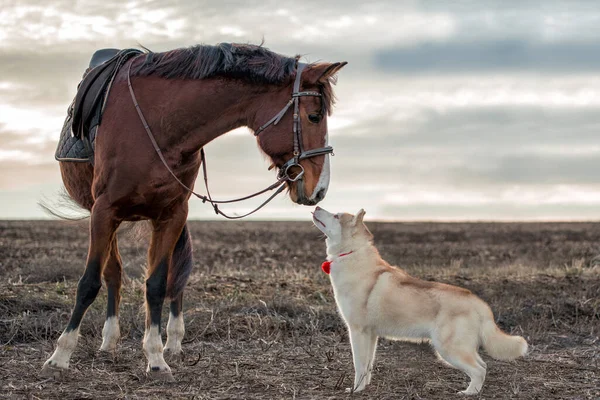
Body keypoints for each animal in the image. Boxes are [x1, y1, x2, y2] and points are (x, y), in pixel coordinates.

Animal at [41, 43, 346, 382]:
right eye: (313, 116)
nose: (320, 189)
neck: (157, 124)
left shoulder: (171, 215)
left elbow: (157, 284)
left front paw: (156, 358)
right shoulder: (103, 212)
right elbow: (89, 282)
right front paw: (59, 356)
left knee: (170, 276)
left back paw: (170, 340)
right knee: (113, 274)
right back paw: (108, 341)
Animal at [312, 208, 528, 396]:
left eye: (336, 215)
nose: (317, 207)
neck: (352, 254)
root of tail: (479, 303)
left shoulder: (358, 331)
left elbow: (359, 365)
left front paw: (356, 390)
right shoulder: (371, 334)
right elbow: (368, 367)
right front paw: (363, 388)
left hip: (449, 349)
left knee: (479, 370)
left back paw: (468, 393)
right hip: (460, 347)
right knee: (483, 365)